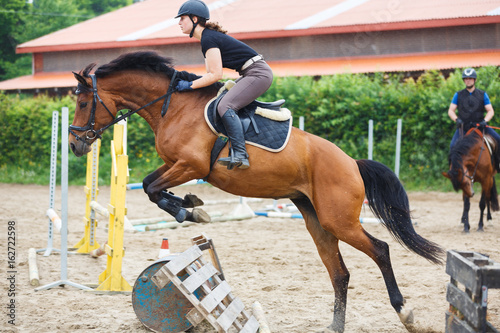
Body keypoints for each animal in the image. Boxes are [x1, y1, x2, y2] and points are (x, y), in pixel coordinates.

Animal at [68, 52, 444, 332]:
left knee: (380, 250)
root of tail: (351, 162)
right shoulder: (175, 164)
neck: (173, 106)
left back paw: (405, 313)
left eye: (84, 103)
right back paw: (336, 325)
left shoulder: (191, 166)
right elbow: (149, 186)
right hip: (316, 219)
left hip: (339, 220)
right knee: (340, 272)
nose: (74, 144)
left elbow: (153, 189)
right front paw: (191, 205)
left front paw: (188, 209)